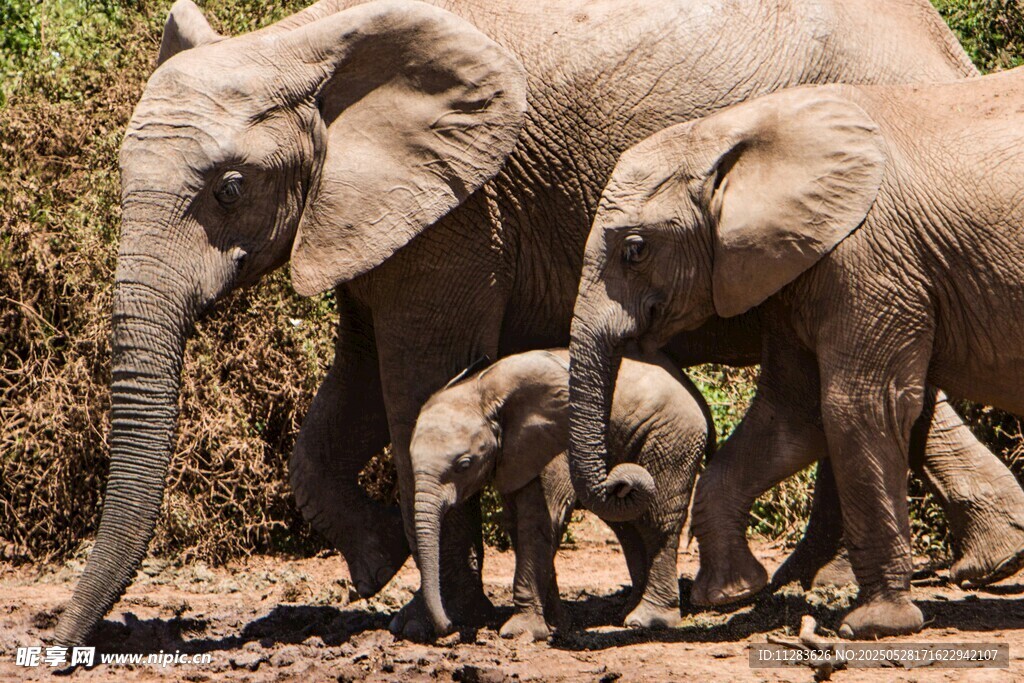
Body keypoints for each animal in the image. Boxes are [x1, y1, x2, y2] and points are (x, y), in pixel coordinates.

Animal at [409, 349, 710, 639]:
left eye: (464, 464)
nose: (448, 628)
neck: (481, 391)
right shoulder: (513, 456)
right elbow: (518, 524)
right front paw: (557, 625)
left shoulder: (553, 447)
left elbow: (538, 521)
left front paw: (522, 632)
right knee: (629, 527)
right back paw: (627, 612)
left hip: (671, 437)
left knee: (656, 522)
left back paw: (645, 620)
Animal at [566, 70, 1024, 638]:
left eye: (634, 249)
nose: (625, 480)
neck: (733, 131)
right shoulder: (799, 265)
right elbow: (790, 415)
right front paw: (731, 593)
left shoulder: (867, 258)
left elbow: (857, 407)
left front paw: (873, 626)